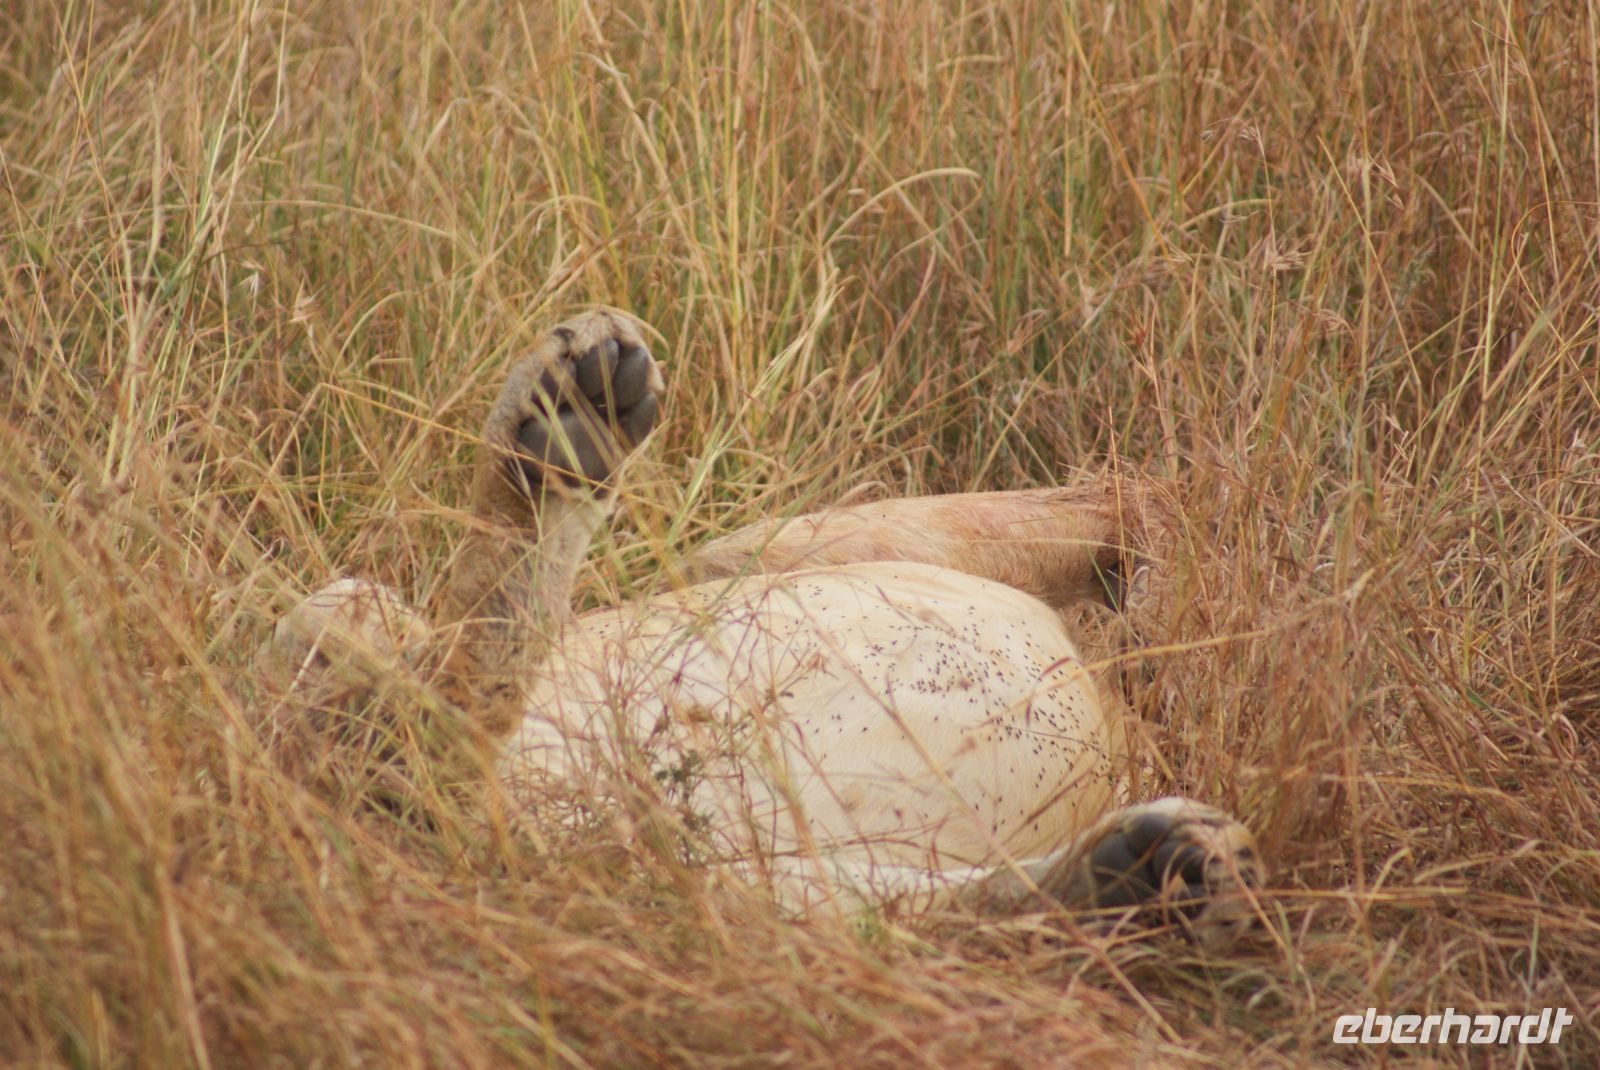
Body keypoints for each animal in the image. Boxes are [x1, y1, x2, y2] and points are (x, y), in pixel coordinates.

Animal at [260, 310, 1262, 945]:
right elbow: (1133, 505)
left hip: (733, 860)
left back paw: (1151, 876)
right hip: (347, 611)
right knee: (402, 750)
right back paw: (560, 435)